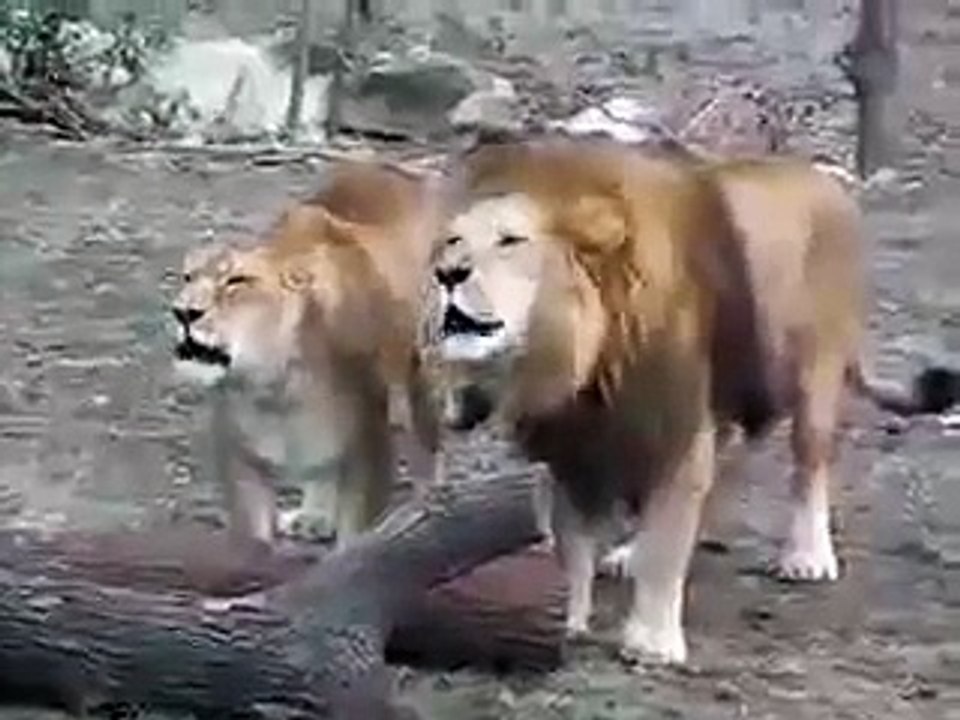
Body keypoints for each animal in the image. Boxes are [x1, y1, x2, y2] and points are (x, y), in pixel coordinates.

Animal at [171, 160, 443, 546]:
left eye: (237, 282)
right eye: (187, 278)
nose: (182, 312)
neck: (274, 385)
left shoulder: (369, 446)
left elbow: (353, 535)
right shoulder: (238, 456)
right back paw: (314, 515)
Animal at [421, 135, 957, 665]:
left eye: (511, 241)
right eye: (453, 242)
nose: (446, 273)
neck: (582, 356)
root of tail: (827, 181)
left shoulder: (674, 422)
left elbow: (667, 540)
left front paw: (651, 643)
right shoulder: (573, 446)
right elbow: (572, 542)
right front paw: (566, 621)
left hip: (816, 371)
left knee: (810, 464)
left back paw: (807, 557)